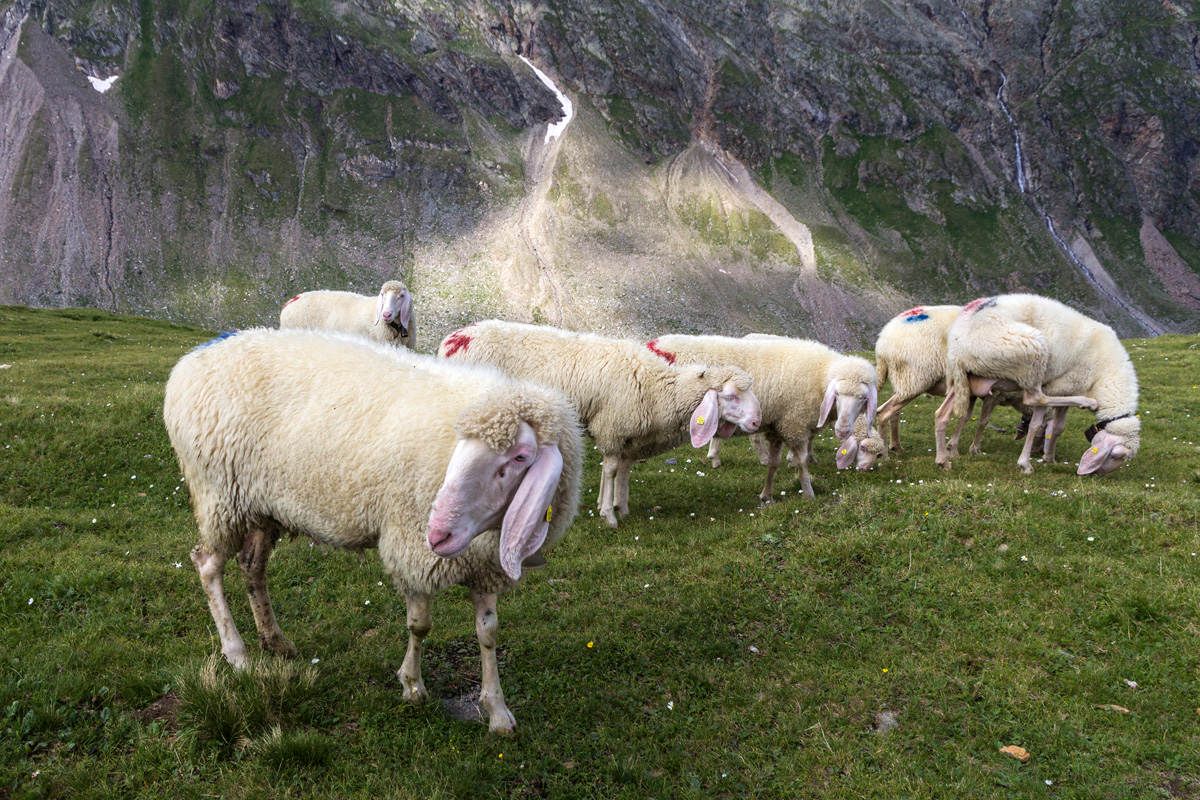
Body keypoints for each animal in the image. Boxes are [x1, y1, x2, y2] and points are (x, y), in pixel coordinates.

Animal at [162, 323, 583, 734]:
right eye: (460, 447)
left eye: (521, 458)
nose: (438, 534)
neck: (488, 531)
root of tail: (191, 360)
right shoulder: (412, 547)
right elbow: (420, 625)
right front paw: (412, 685)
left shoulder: (483, 564)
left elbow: (488, 633)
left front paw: (497, 710)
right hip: (218, 495)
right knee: (207, 565)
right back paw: (237, 654)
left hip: (261, 506)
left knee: (252, 566)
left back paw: (275, 640)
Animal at [439, 321, 758, 527]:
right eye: (730, 396)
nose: (757, 421)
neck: (656, 388)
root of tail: (453, 339)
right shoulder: (612, 428)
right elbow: (611, 469)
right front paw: (608, 515)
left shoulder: (629, 435)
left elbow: (624, 470)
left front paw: (620, 506)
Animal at [643, 335, 878, 503]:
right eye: (837, 394)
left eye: (863, 398)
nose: (843, 430)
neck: (820, 376)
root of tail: (653, 344)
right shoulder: (794, 424)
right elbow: (801, 462)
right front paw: (808, 493)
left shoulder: (779, 426)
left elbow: (775, 463)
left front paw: (767, 495)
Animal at [931, 297, 1137, 479]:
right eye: (1116, 455)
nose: (1096, 474)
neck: (1104, 373)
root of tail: (959, 342)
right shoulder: (1060, 386)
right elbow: (1036, 423)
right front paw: (1025, 464)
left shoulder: (1070, 389)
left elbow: (1058, 428)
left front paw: (1049, 458)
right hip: (1031, 354)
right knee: (1035, 397)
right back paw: (1087, 402)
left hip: (964, 378)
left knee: (941, 414)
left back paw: (943, 461)